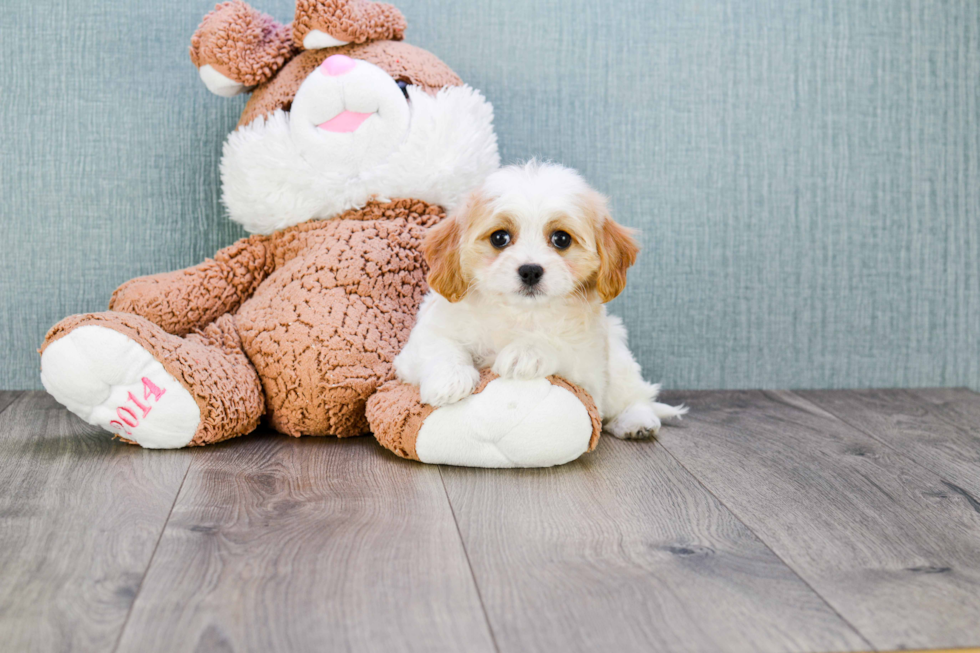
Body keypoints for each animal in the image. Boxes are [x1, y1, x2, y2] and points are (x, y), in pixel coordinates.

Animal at [394, 162, 684, 438]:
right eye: (499, 238)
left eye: (561, 239)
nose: (530, 270)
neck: (520, 313)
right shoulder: (423, 340)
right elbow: (440, 345)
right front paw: (449, 379)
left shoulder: (587, 369)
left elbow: (559, 346)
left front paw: (525, 352)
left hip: (619, 360)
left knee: (636, 396)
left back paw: (637, 421)